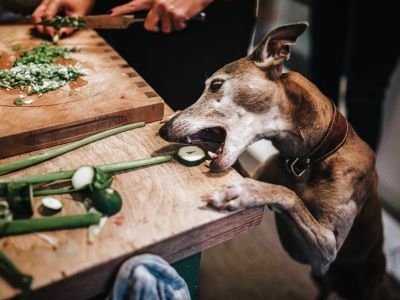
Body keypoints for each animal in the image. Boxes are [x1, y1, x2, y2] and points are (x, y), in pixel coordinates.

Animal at [158, 22, 390, 298]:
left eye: (215, 85)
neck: (307, 159)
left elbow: (287, 194)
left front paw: (243, 193)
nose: (164, 130)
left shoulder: (327, 248)